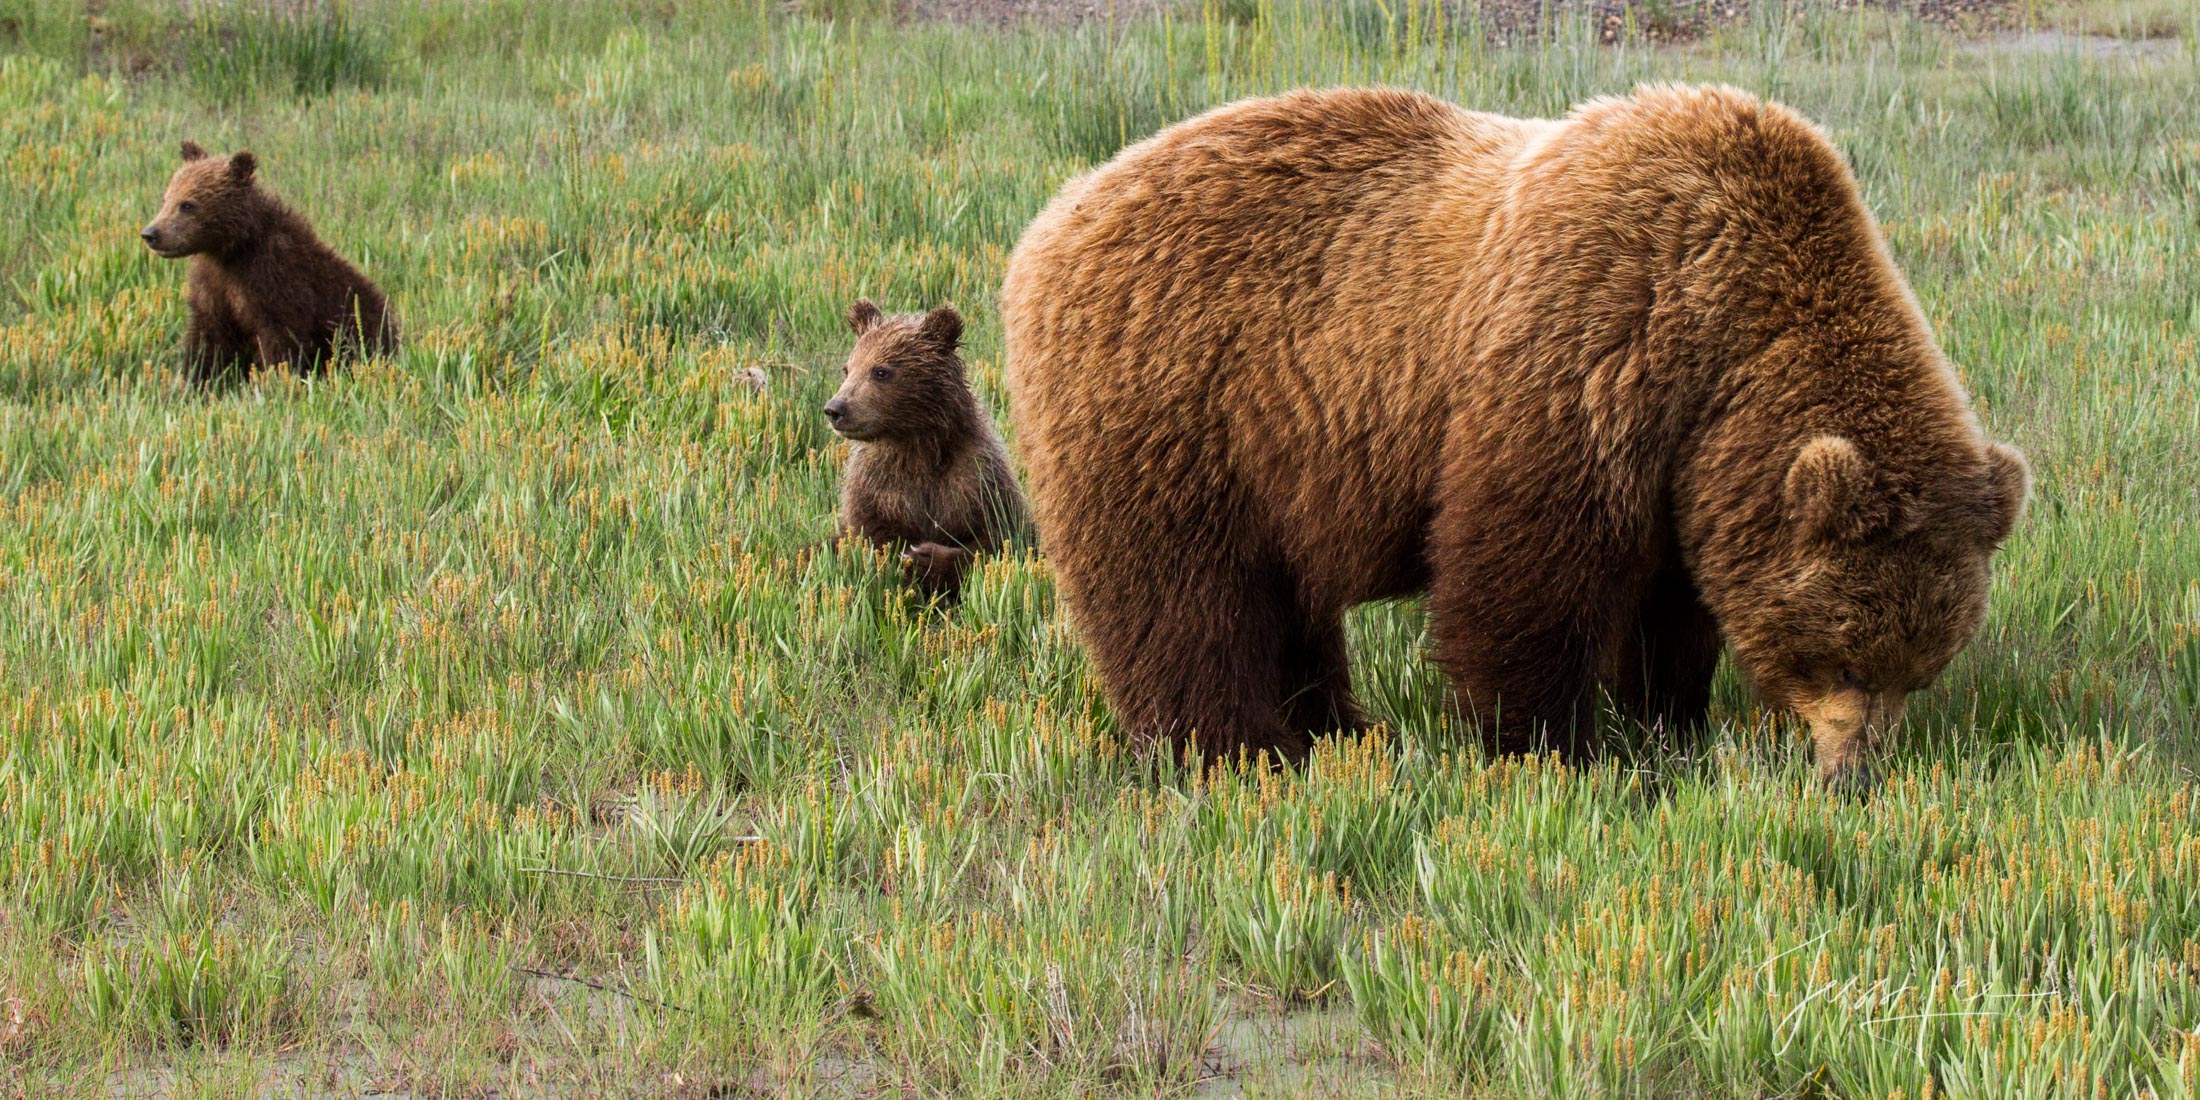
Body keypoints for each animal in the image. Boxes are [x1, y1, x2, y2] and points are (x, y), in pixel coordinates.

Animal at [141, 141, 398, 385]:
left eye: (187, 204)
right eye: (166, 198)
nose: (151, 233)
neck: (230, 253)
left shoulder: (275, 281)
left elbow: (280, 342)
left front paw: (273, 381)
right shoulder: (213, 286)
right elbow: (206, 340)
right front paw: (192, 382)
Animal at [998, 88, 2024, 792]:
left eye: (1921, 669)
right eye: (1844, 657)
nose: (1854, 776)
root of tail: (1053, 218)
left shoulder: (1688, 463)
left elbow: (1671, 602)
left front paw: (1669, 720)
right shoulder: (1588, 349)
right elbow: (1528, 574)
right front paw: (1554, 749)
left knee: (1283, 598)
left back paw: (1340, 727)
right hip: (1177, 406)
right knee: (1186, 598)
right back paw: (1240, 749)